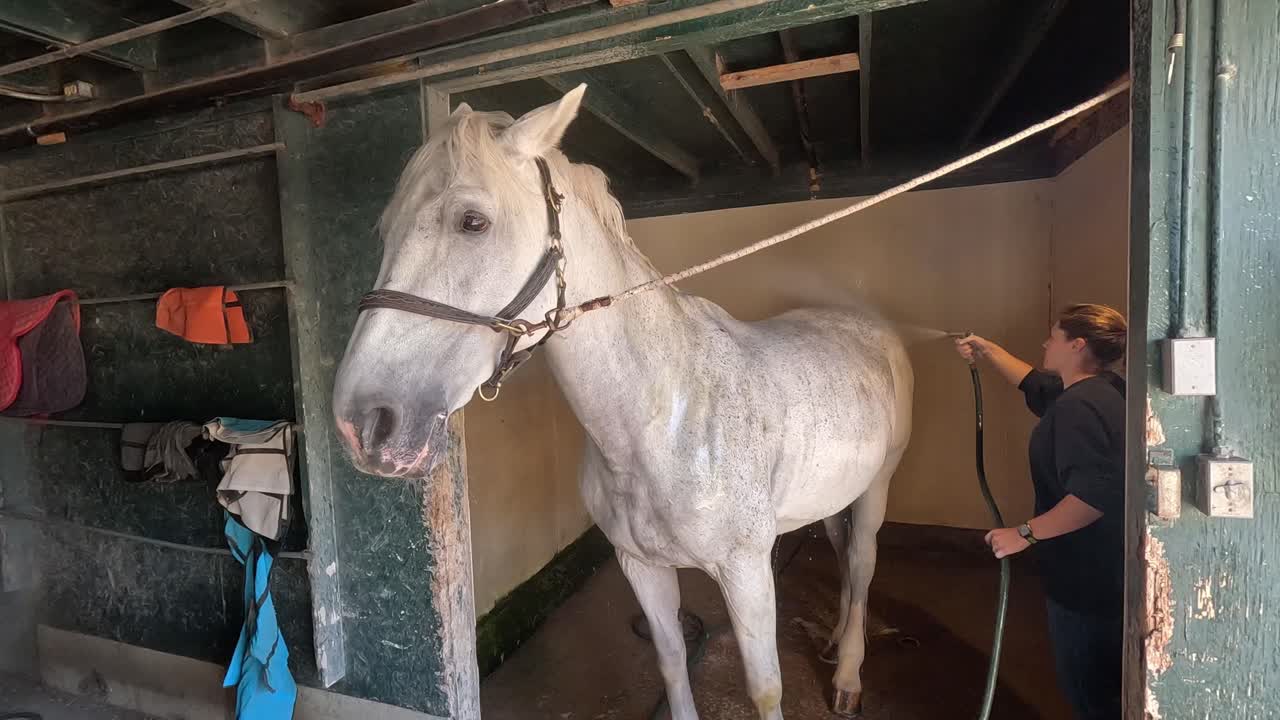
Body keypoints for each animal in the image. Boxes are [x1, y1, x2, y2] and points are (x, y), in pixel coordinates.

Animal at [332, 84, 914, 719]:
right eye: (384, 230)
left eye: (473, 221)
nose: (364, 423)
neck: (665, 419)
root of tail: (867, 324)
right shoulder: (642, 568)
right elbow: (673, 663)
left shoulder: (746, 572)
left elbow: (765, 689)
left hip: (879, 485)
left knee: (861, 565)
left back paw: (849, 674)